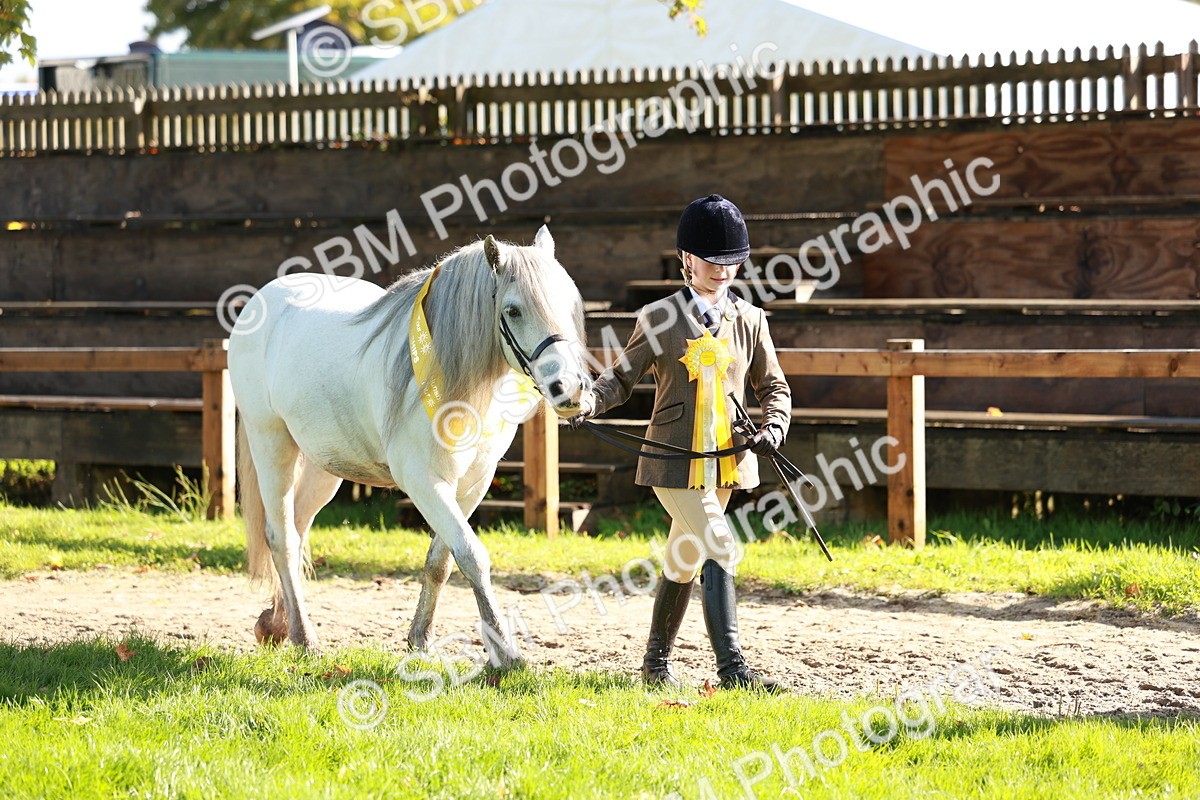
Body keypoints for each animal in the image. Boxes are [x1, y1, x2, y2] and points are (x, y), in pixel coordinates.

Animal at [229, 227, 590, 666]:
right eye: (514, 310)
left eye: (569, 304)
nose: (571, 390)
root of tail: (261, 301)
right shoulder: (423, 480)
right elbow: (472, 555)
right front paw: (505, 653)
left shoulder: (471, 485)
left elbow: (442, 560)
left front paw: (421, 638)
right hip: (271, 442)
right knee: (281, 538)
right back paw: (303, 637)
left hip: (322, 464)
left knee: (296, 529)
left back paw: (277, 623)